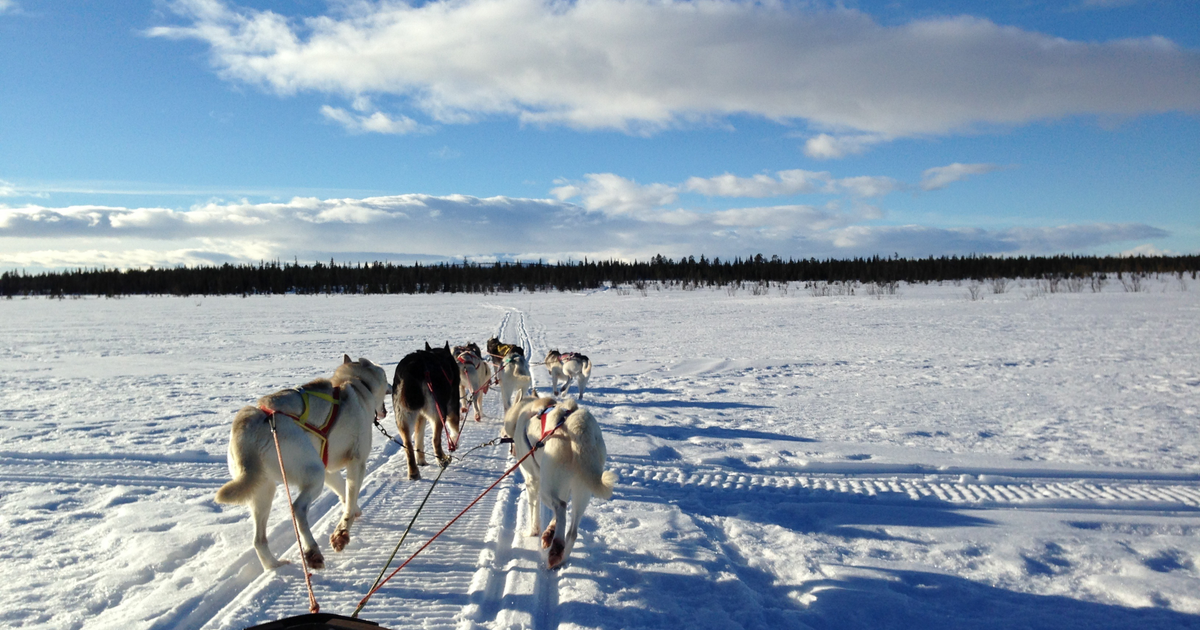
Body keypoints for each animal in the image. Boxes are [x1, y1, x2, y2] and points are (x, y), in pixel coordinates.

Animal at [211, 352, 388, 568]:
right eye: (386, 378)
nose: (391, 387)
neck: (356, 383)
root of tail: (251, 422)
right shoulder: (357, 462)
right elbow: (350, 496)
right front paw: (343, 532)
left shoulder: (328, 470)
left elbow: (343, 492)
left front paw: (354, 511)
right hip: (314, 476)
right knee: (297, 509)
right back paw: (312, 551)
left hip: (264, 490)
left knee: (259, 540)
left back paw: (275, 566)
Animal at [391, 340, 460, 480]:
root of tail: (412, 368)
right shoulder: (453, 409)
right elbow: (455, 430)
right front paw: (454, 444)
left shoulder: (420, 416)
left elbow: (419, 439)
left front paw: (421, 460)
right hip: (439, 413)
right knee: (435, 440)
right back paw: (443, 460)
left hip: (403, 419)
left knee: (409, 445)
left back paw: (414, 472)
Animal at [504, 396, 619, 566]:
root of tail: (579, 426)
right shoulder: (563, 487)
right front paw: (549, 531)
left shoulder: (533, 481)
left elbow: (534, 512)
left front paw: (533, 532)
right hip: (581, 488)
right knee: (572, 531)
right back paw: (560, 556)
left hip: (546, 488)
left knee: (561, 506)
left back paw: (556, 547)